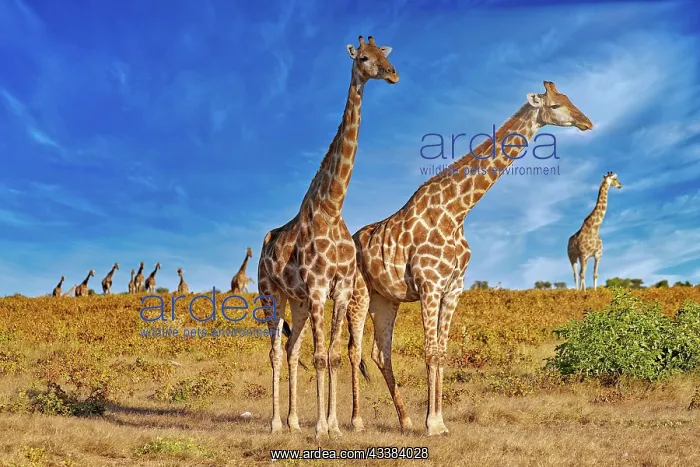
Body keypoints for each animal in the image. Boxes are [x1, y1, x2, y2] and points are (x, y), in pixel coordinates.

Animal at [257, 35, 399, 439]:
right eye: (364, 58)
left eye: (385, 53)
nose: (393, 74)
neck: (332, 209)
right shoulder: (319, 289)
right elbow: (320, 357)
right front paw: (321, 427)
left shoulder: (340, 291)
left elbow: (333, 355)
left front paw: (334, 424)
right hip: (271, 294)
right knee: (275, 351)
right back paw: (275, 423)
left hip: (299, 302)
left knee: (292, 350)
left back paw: (292, 422)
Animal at [346, 81, 593, 435]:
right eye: (557, 105)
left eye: (570, 98)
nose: (587, 122)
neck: (457, 211)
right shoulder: (430, 284)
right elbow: (430, 352)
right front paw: (432, 424)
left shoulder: (453, 287)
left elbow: (442, 352)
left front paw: (438, 421)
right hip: (357, 293)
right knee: (352, 350)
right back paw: (354, 421)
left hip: (386, 298)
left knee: (380, 353)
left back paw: (405, 421)